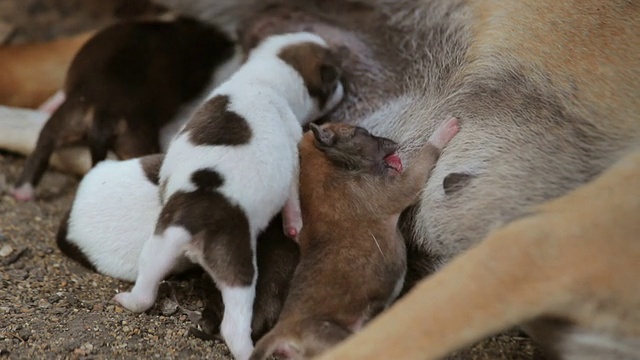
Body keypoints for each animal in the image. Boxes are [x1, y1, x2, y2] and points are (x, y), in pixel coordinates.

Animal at [115, 31, 344, 360]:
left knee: (145, 290)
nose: (346, 85)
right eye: (335, 81)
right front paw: (293, 226)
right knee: (233, 326)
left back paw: (129, 300)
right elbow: (292, 200)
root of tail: (194, 224)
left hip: (158, 247)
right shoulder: (292, 153)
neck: (261, 78)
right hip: (238, 270)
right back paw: (248, 349)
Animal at [249, 117, 460, 360]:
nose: (394, 142)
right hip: (336, 338)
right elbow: (425, 157)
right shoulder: (401, 187)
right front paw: (445, 129)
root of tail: (283, 330)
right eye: (363, 133)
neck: (326, 163)